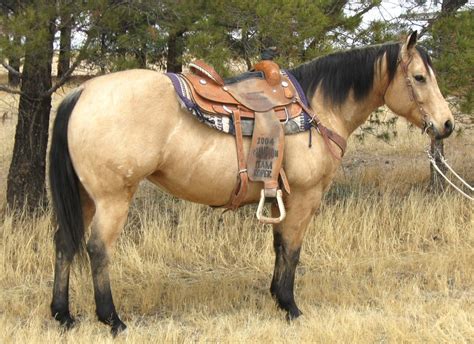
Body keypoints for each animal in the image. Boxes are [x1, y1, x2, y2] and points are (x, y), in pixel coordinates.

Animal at [49, 31, 456, 334]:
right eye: (419, 77)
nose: (448, 124)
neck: (319, 107)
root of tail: (82, 92)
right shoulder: (306, 197)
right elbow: (292, 249)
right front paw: (291, 307)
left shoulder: (282, 197)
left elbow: (278, 246)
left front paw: (276, 297)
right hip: (113, 198)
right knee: (98, 249)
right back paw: (112, 319)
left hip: (86, 198)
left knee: (65, 243)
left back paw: (62, 315)